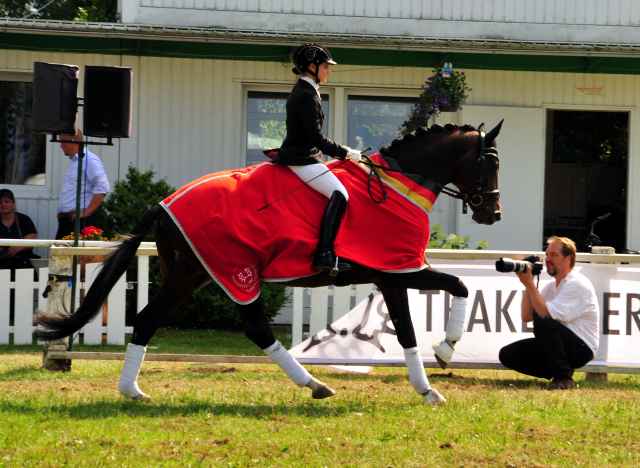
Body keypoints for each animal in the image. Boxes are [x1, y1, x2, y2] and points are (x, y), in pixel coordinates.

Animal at [35, 120, 504, 406]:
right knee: (256, 328)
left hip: (189, 274)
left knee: (151, 319)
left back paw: (132, 391)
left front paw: (435, 373)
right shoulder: (397, 270)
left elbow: (434, 308)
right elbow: (442, 301)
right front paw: (440, 361)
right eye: (491, 163)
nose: (492, 214)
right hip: (234, 272)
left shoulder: (397, 273)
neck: (397, 186)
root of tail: (163, 203)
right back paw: (314, 383)